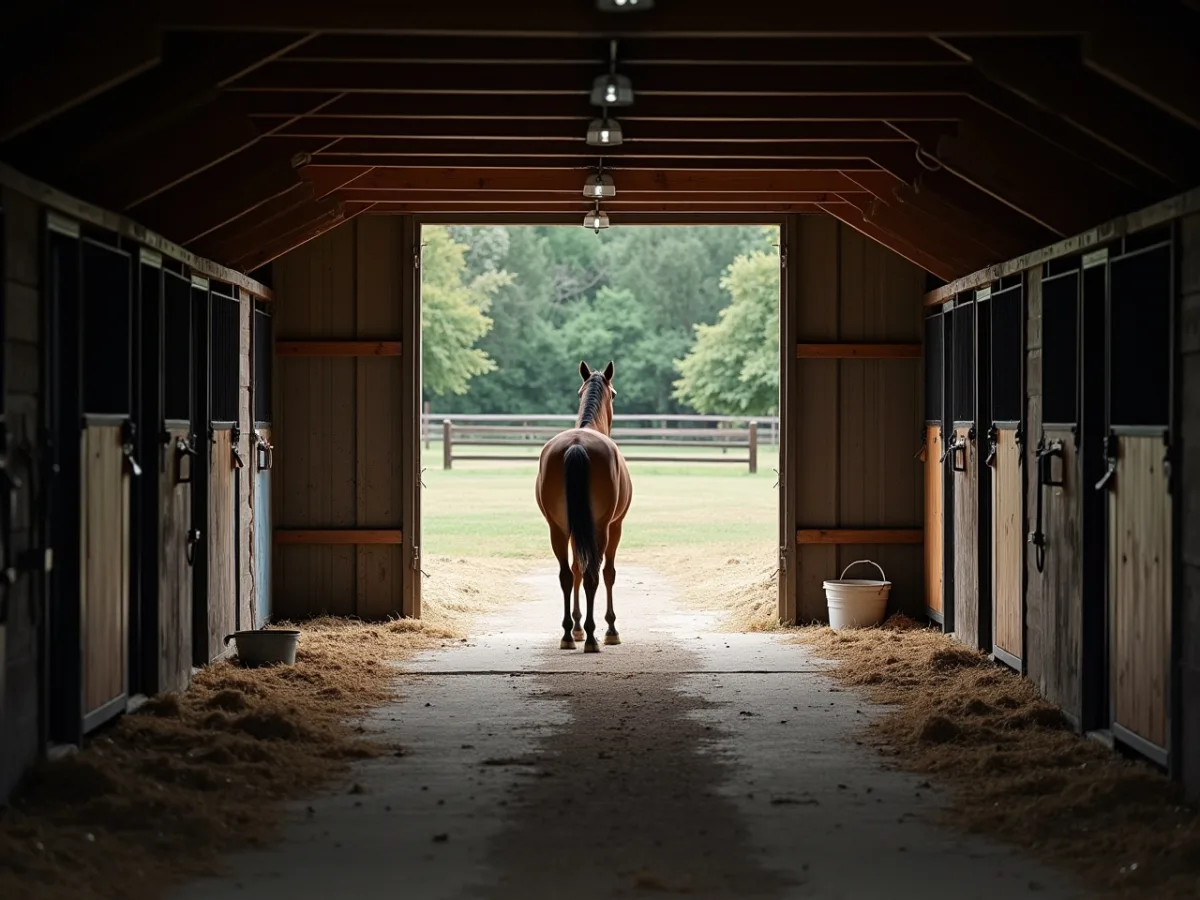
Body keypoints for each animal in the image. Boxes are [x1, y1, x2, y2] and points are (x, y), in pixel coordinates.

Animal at [535, 361, 633, 653]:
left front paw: (576, 627)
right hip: (600, 528)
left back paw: (569, 635)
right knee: (593, 575)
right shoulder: (615, 526)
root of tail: (577, 445)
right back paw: (592, 637)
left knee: (568, 575)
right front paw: (610, 629)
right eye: (615, 394)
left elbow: (576, 569)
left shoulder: (573, 529)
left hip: (557, 529)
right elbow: (609, 573)